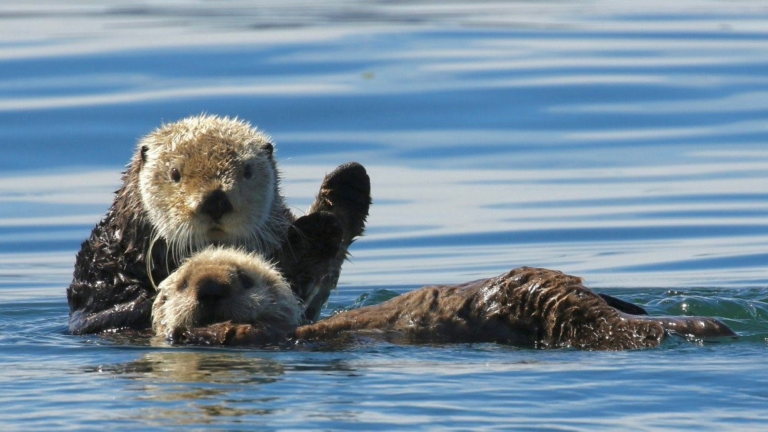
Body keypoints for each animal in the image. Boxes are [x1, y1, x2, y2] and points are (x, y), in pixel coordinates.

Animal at [67, 114, 371, 335]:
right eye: (175, 173)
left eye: (247, 171)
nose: (215, 200)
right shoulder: (99, 267)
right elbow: (98, 317)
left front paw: (332, 211)